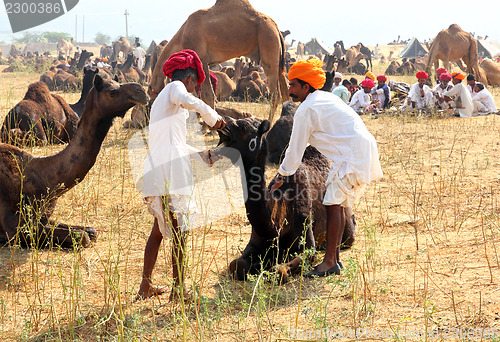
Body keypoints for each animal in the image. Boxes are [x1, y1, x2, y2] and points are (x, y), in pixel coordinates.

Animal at [0, 75, 148, 248]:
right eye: (112, 91)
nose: (142, 92)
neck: (43, 177)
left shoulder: (43, 218)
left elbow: (91, 231)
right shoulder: (14, 227)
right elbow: (83, 237)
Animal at [215, 117, 356, 284]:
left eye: (243, 126)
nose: (224, 122)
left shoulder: (306, 244)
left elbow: (279, 271)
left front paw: (267, 269)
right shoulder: (255, 242)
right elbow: (236, 265)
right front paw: (257, 266)